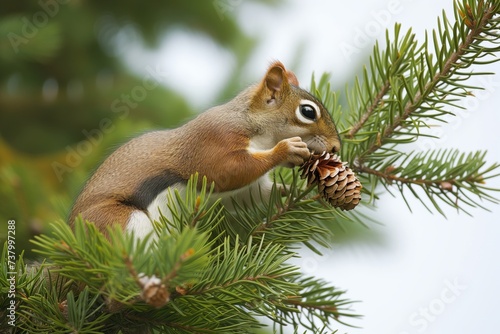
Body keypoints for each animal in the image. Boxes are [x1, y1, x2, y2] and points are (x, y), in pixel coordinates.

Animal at [68, 60, 342, 237]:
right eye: (308, 112)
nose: (337, 147)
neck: (253, 127)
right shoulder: (213, 140)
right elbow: (224, 171)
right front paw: (286, 149)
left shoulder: (244, 191)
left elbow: (255, 193)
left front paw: (300, 192)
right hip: (117, 222)